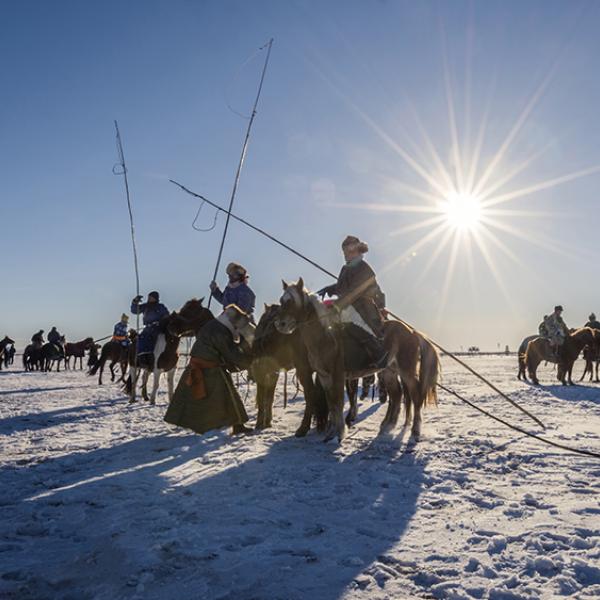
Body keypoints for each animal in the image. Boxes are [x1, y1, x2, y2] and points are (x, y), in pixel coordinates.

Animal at [253, 304, 328, 436]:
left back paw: (303, 428)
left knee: (311, 394)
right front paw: (267, 422)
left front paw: (260, 423)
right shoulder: (271, 372)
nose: (259, 343)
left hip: (303, 370)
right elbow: (269, 397)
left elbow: (262, 398)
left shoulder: (263, 371)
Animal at [274, 278, 438, 442]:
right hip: (389, 372)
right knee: (397, 395)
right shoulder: (324, 377)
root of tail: (412, 332)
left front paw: (340, 433)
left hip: (406, 371)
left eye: (291, 301)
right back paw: (387, 425)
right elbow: (332, 404)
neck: (325, 337)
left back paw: (415, 431)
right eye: (281, 301)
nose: (280, 324)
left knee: (416, 395)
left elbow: (338, 402)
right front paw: (331, 433)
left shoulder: (338, 375)